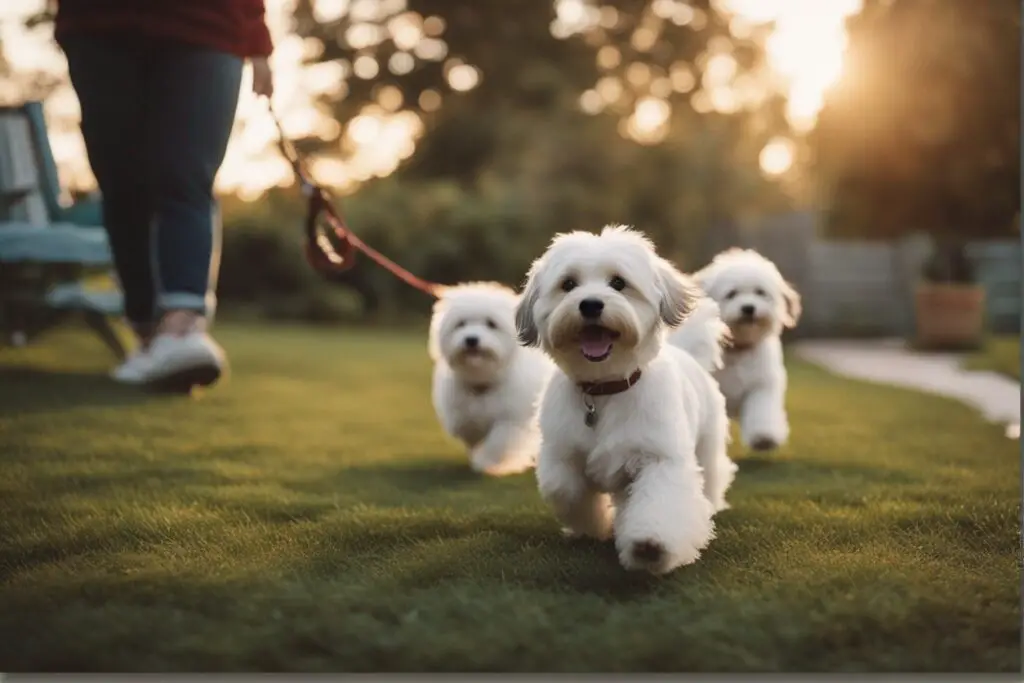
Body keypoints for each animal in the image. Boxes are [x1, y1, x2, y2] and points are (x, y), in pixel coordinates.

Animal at [428, 282, 557, 475]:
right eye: (461, 324)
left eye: (491, 324)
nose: (471, 339)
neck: (484, 381)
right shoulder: (466, 417)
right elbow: (472, 436)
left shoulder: (511, 420)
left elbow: (498, 442)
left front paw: (487, 462)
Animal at [516, 227, 733, 573]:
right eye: (568, 284)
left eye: (618, 283)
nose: (590, 304)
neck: (604, 389)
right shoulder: (561, 454)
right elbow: (565, 489)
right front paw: (592, 527)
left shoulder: (659, 457)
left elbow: (661, 499)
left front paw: (651, 545)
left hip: (707, 444)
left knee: (710, 475)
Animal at [667, 248, 802, 450]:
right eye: (731, 294)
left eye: (760, 292)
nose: (748, 308)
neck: (738, 349)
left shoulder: (762, 384)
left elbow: (762, 409)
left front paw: (764, 437)